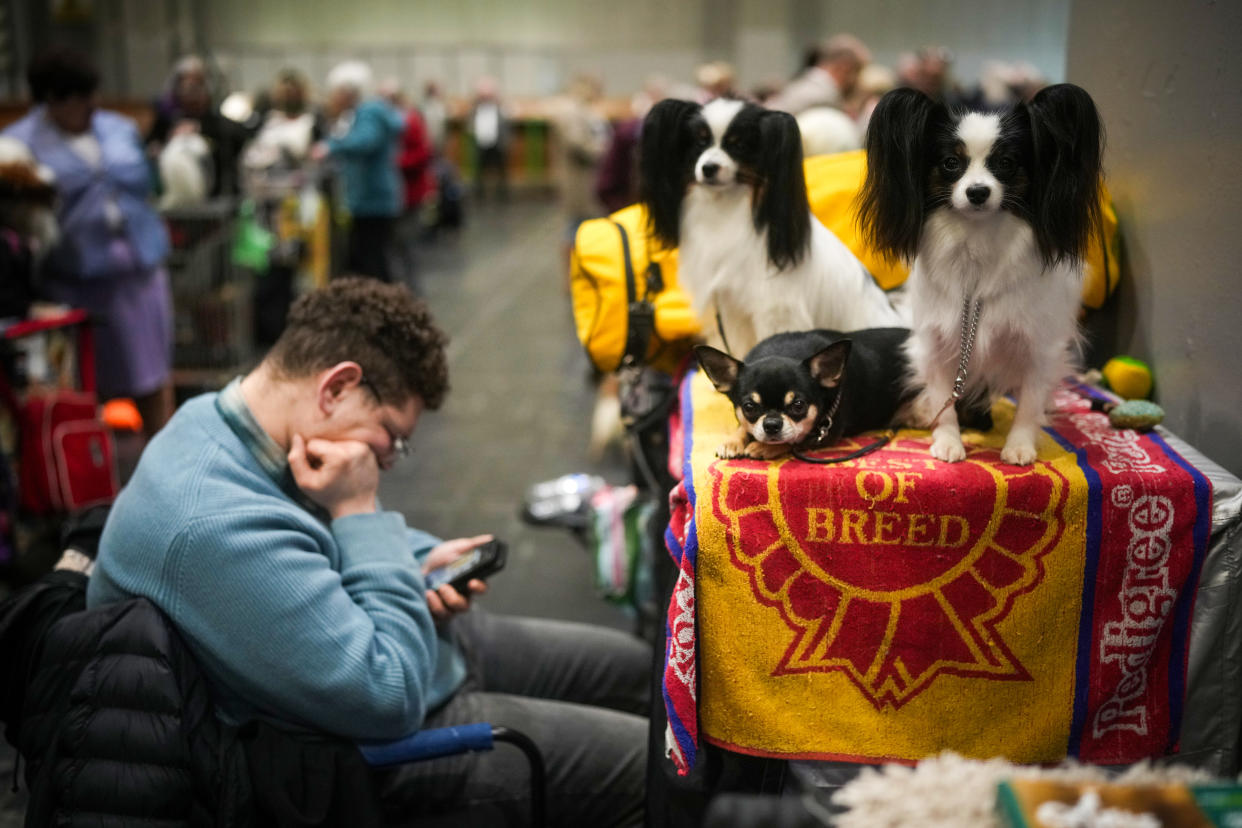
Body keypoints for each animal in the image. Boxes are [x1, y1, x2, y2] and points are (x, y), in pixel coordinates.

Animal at [640, 97, 904, 357]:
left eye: (739, 146)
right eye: (699, 143)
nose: (708, 168)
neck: (725, 208)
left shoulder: (775, 307)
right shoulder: (731, 309)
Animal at [859, 84, 1102, 466]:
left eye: (1006, 163)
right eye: (950, 163)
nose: (977, 192)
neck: (977, 240)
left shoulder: (1040, 344)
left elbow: (1030, 401)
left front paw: (1020, 445)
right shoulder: (937, 340)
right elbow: (943, 399)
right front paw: (948, 441)